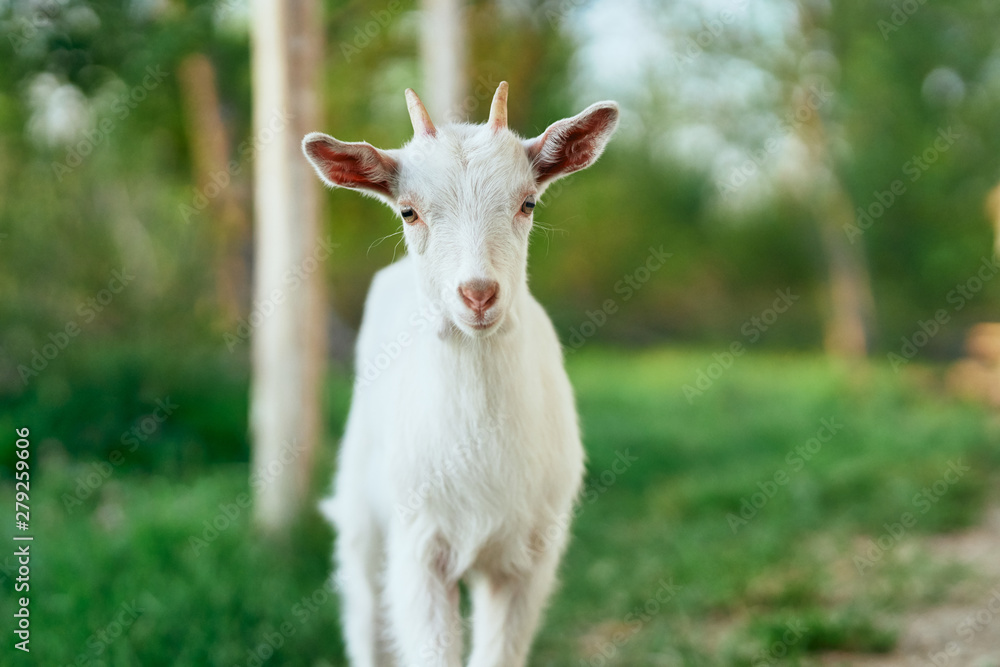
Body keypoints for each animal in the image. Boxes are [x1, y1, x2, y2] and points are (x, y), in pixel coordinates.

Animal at [300, 83, 620, 667]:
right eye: (408, 211)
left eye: (528, 202)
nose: (477, 294)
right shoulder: (418, 549)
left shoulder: (530, 555)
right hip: (362, 519)